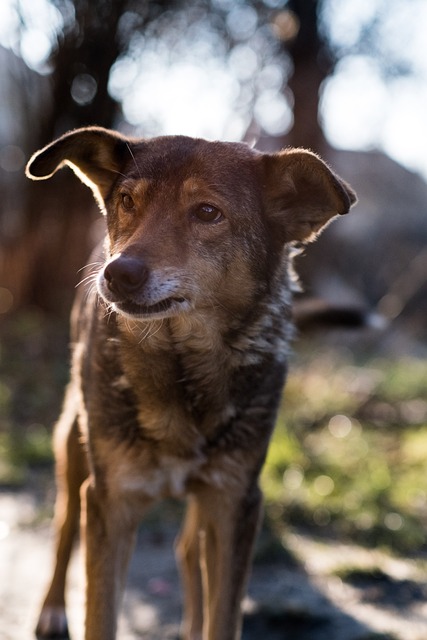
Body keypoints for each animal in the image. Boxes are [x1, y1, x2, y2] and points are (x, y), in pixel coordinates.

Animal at [25, 126, 356, 640]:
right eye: (127, 201)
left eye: (207, 212)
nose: (118, 273)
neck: (181, 366)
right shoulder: (112, 501)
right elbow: (100, 613)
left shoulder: (234, 500)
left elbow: (223, 614)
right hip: (74, 440)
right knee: (63, 526)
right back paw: (53, 609)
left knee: (186, 551)